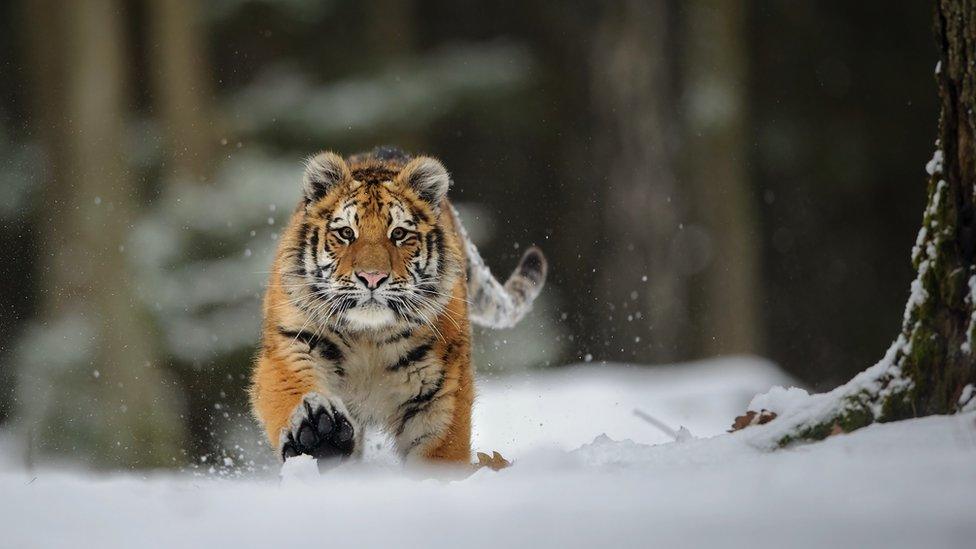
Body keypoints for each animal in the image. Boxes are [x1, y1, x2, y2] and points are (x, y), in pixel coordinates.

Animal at [250, 147, 548, 466]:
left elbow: (441, 454)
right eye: (346, 233)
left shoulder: (439, 390)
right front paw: (319, 432)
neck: (367, 337)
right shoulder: (291, 343)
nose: (372, 277)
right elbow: (291, 387)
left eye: (399, 234)